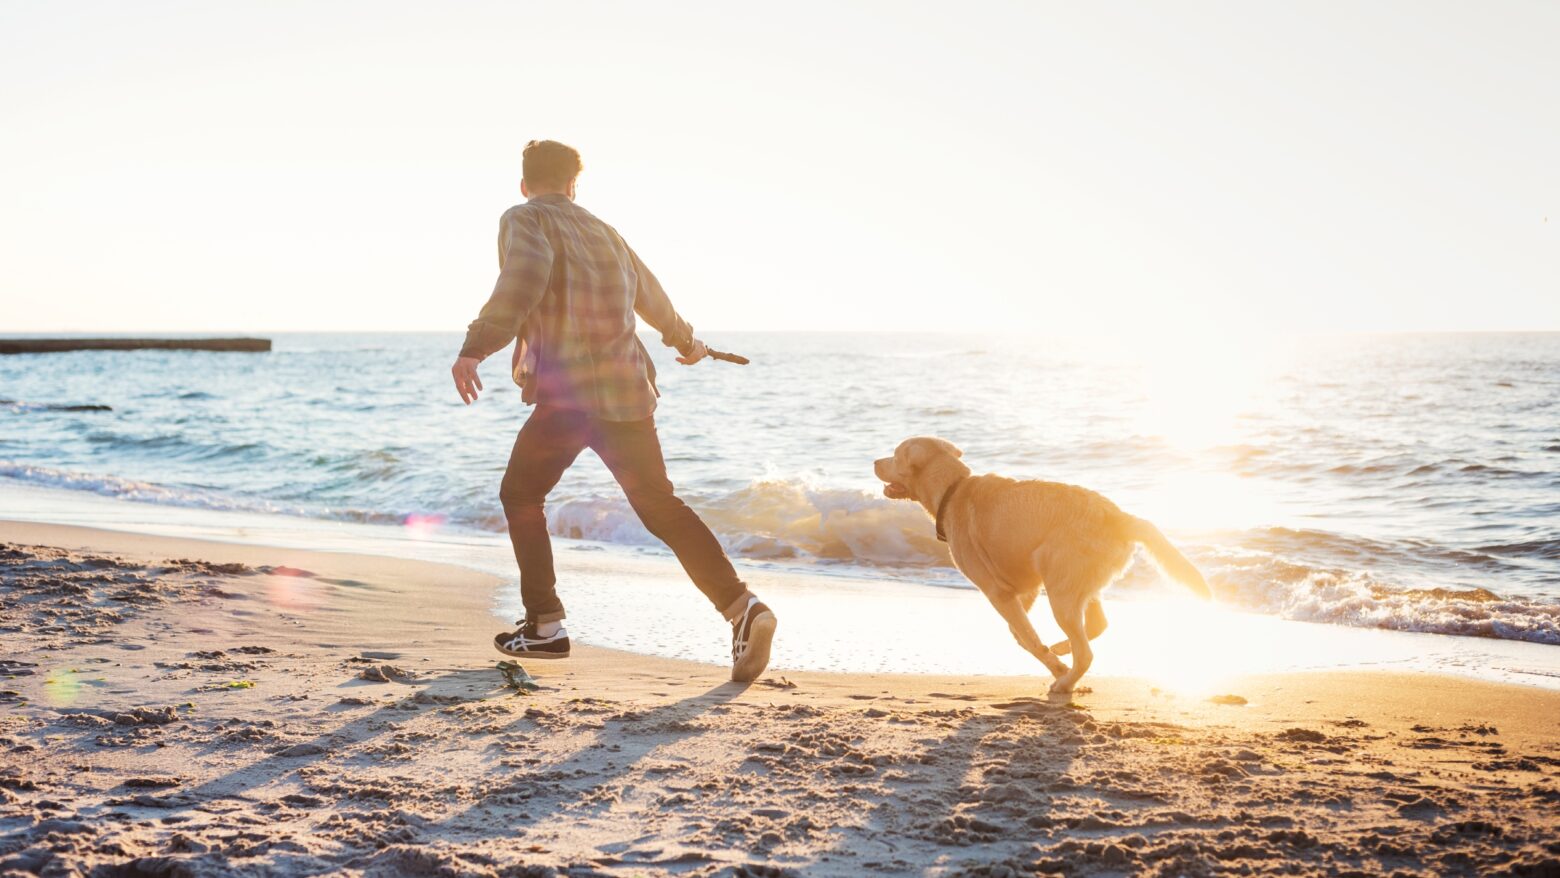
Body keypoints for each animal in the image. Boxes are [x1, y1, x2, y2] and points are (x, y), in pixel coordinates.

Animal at [873, 436, 1210, 695]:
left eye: (895, 454)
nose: (875, 461)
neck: (953, 490)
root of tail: (1120, 517)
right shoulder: (1025, 589)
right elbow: (1021, 634)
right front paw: (1053, 656)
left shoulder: (998, 592)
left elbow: (1028, 638)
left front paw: (1055, 666)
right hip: (1077, 584)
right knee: (1097, 626)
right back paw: (1063, 649)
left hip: (1061, 590)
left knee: (1086, 652)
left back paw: (1065, 680)